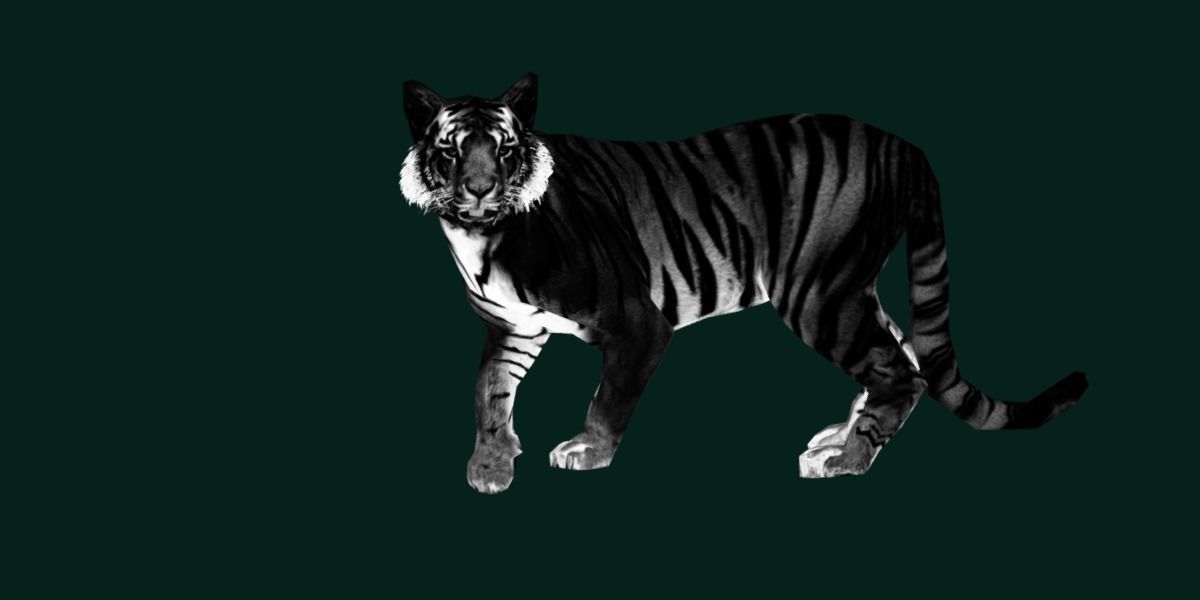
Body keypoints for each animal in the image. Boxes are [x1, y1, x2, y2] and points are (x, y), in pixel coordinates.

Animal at [399, 73, 1088, 493]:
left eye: (505, 148)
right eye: (451, 149)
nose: (480, 190)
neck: (484, 238)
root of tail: (905, 146)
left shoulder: (638, 322)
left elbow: (608, 395)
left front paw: (588, 451)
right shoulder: (512, 328)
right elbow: (489, 394)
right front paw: (490, 464)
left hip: (817, 293)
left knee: (900, 369)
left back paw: (845, 461)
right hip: (847, 289)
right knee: (906, 356)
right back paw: (840, 441)